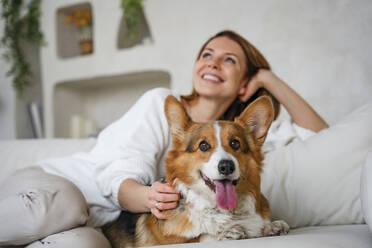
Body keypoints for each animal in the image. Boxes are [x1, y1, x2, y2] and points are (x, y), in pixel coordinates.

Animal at [103, 95, 290, 248]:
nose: (226, 166)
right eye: (203, 145)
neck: (221, 210)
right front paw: (226, 233)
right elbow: (198, 237)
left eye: (235, 143)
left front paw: (271, 226)